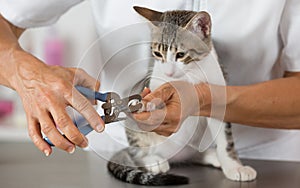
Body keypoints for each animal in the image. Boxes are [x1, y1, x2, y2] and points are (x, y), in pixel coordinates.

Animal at [106, 5, 256, 185]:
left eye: (181, 55)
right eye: (157, 54)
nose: (169, 72)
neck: (189, 76)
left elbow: (226, 139)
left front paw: (234, 166)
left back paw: (210, 155)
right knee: (136, 150)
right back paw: (152, 159)